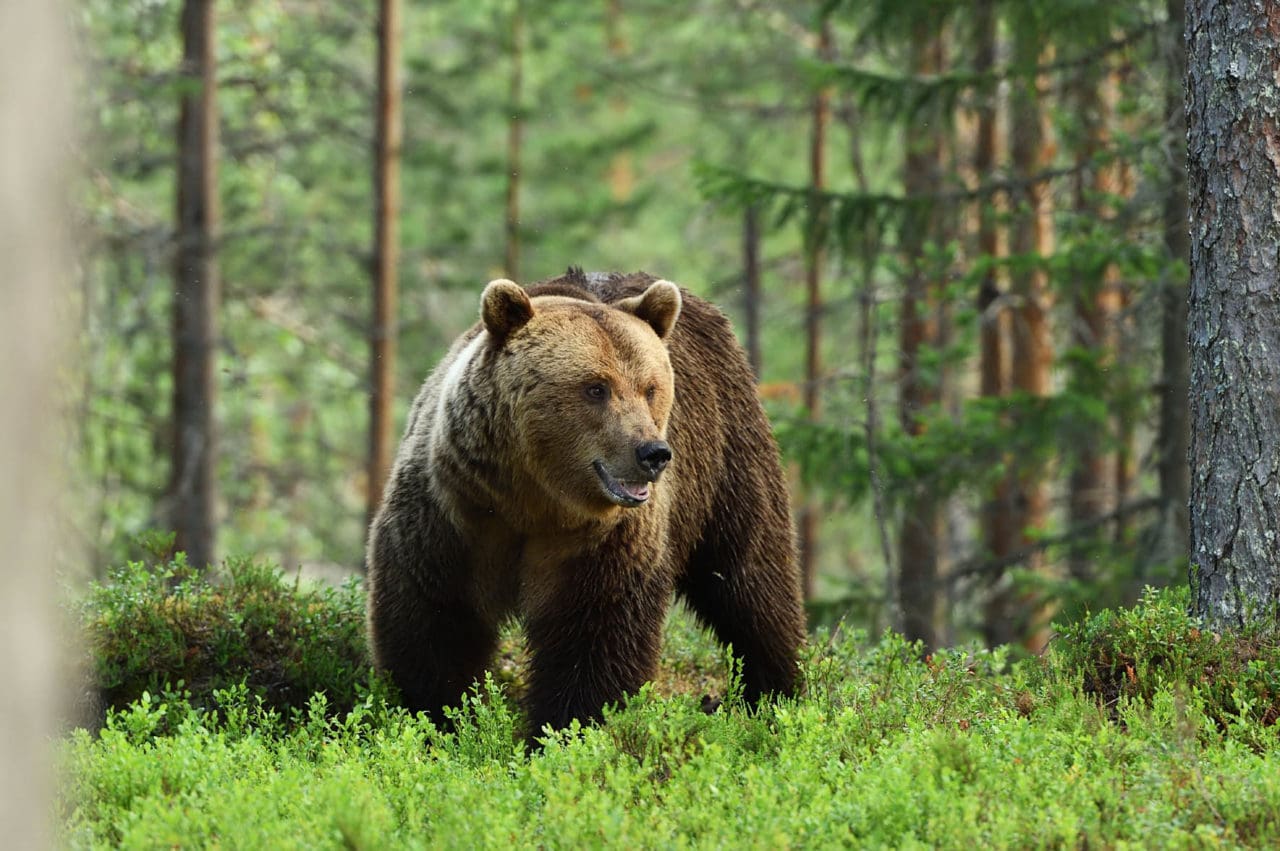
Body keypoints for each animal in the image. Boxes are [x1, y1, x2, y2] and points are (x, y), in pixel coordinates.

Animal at [368, 268, 798, 731]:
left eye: (650, 388)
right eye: (596, 388)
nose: (653, 453)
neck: (534, 500)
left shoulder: (602, 542)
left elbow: (594, 636)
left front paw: (566, 725)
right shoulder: (454, 514)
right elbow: (435, 621)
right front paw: (439, 715)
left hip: (726, 454)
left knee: (752, 578)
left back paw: (776, 693)